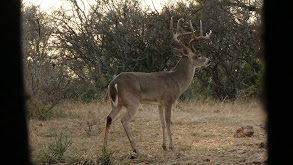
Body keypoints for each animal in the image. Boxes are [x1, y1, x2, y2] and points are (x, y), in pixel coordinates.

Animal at [104, 16, 211, 157]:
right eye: (198, 55)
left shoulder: (159, 103)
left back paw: (104, 147)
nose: (209, 60)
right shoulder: (169, 100)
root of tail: (113, 83)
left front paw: (164, 146)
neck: (177, 80)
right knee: (124, 120)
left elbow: (162, 124)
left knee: (109, 117)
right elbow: (168, 122)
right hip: (132, 102)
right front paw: (172, 146)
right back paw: (136, 150)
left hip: (117, 103)